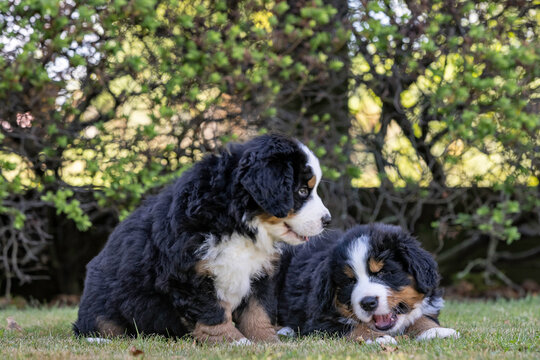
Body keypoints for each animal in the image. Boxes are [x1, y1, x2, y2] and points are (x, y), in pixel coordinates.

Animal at [74, 134, 332, 344]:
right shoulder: (189, 274)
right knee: (98, 326)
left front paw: (267, 340)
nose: (327, 220)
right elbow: (212, 312)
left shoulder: (261, 273)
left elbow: (258, 311)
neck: (237, 222)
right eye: (302, 191)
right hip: (102, 304)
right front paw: (235, 342)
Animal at [276, 224, 458, 344]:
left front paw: (435, 330)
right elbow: (351, 327)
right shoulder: (318, 320)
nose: (368, 303)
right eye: (350, 281)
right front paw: (378, 338)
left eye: (383, 272)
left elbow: (421, 316)